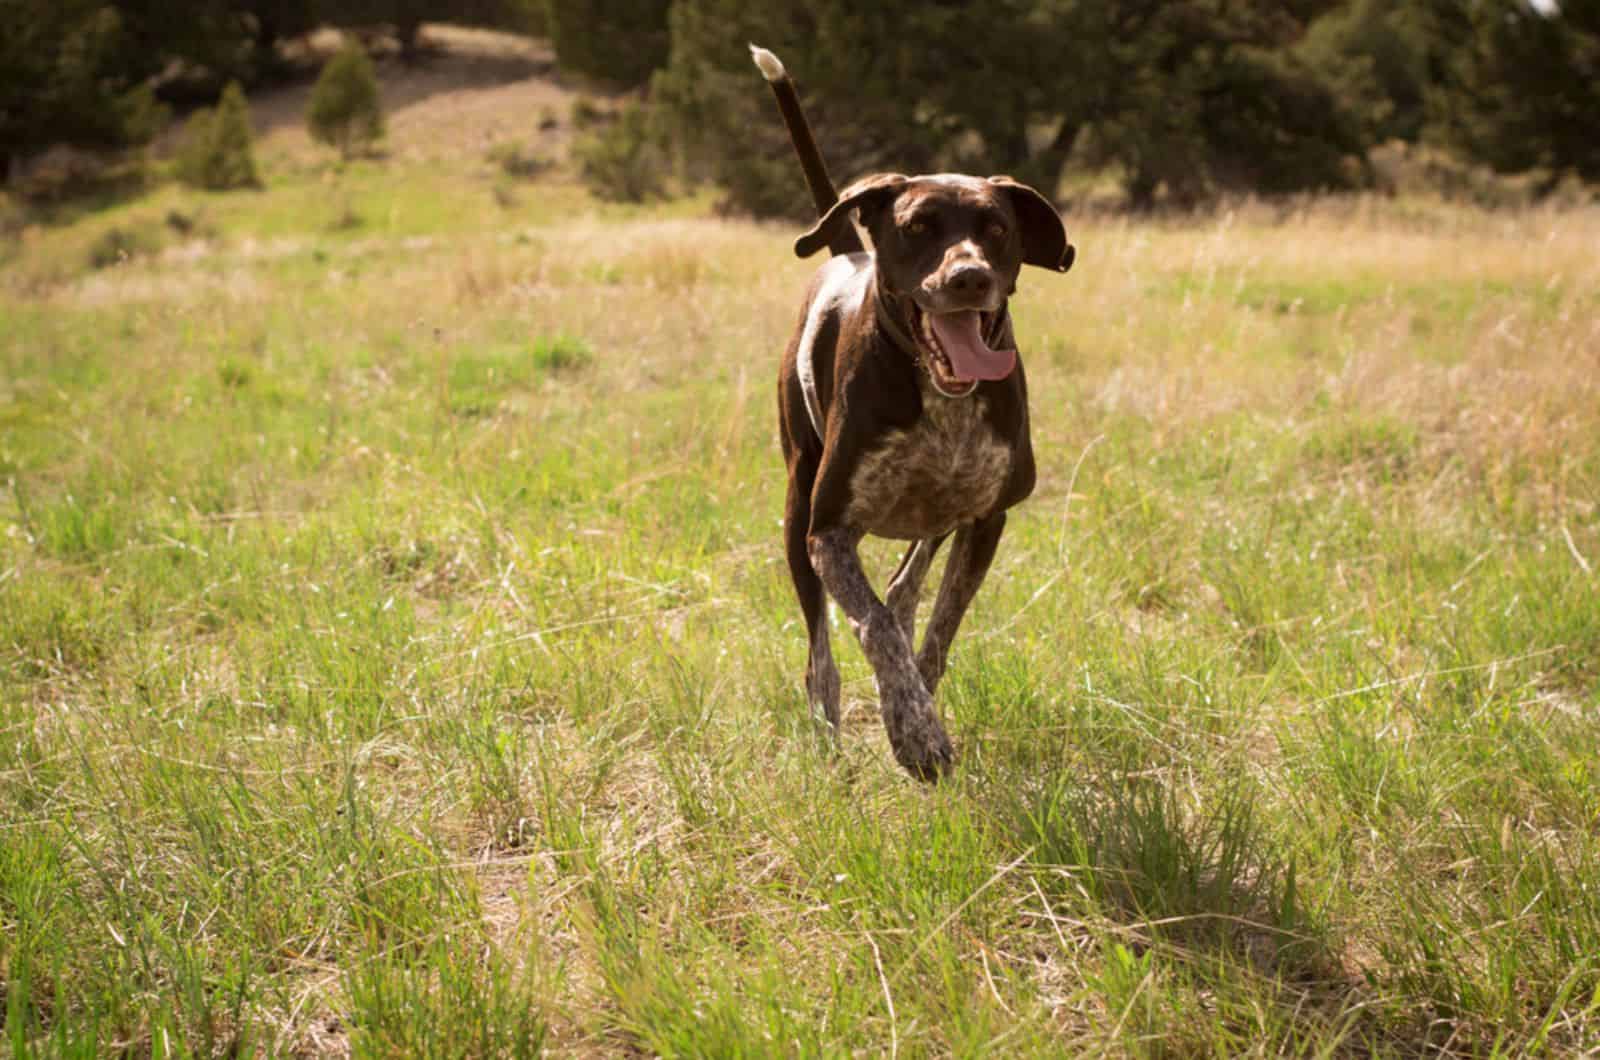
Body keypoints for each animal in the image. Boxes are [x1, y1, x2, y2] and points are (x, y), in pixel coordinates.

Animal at [748, 45, 1075, 784]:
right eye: (918, 228)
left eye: (998, 230)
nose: (969, 278)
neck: (940, 398)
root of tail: (845, 249)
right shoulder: (829, 533)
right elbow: (874, 627)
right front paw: (914, 732)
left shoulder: (986, 518)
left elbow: (937, 628)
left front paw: (920, 713)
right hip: (797, 508)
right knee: (824, 653)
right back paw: (828, 734)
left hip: (934, 519)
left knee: (904, 588)